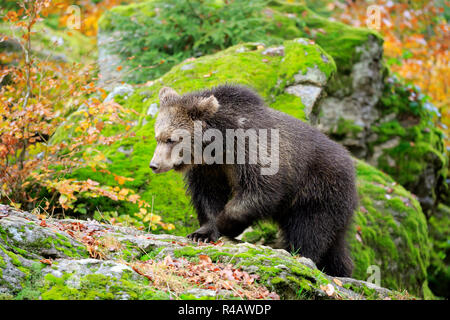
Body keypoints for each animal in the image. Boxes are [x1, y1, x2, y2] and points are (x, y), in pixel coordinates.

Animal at [149, 84, 356, 276]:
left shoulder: (253, 150)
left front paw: (225, 223)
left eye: (171, 139)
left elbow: (260, 190)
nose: (154, 165)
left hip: (319, 188)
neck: (218, 145)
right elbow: (208, 196)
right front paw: (201, 233)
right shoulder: (209, 169)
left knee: (310, 228)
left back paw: (300, 254)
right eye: (157, 137)